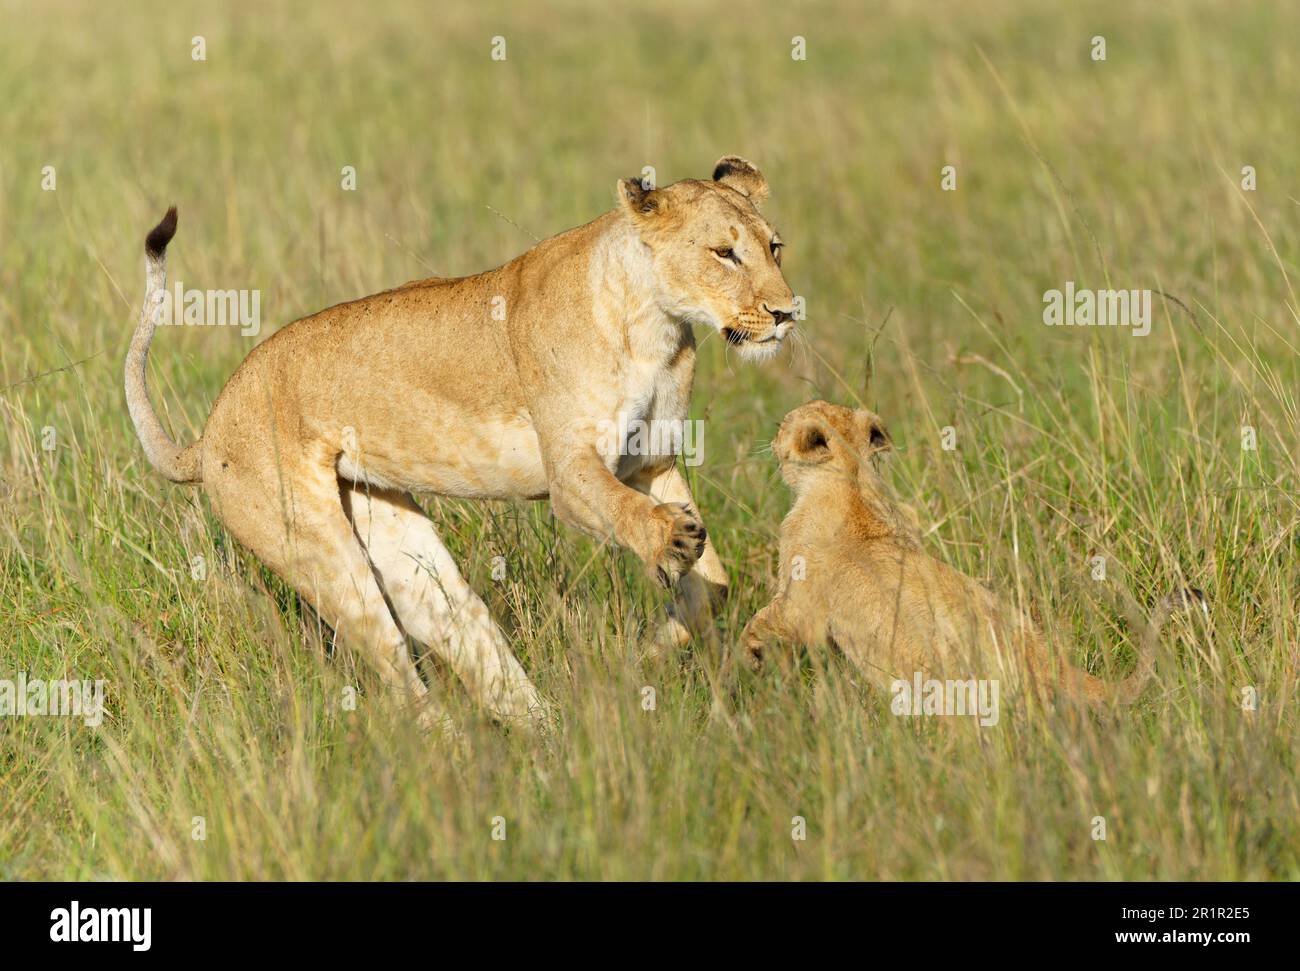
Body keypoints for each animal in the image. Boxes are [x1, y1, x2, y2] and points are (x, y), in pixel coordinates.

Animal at [126, 156, 796, 732]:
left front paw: (652, 651)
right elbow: (631, 515)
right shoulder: (572, 475)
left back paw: (544, 741)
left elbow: (716, 583)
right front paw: (668, 544)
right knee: (398, 672)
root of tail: (210, 428)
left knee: (464, 628)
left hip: (393, 537)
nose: (787, 312)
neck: (657, 324)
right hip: (325, 556)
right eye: (724, 253)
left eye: (774, 247)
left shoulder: (652, 462)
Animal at [741, 400, 1202, 709]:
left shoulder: (800, 597)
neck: (853, 482)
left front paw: (750, 656)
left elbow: (766, 619)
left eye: (784, 426)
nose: (771, 436)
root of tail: (1043, 660)